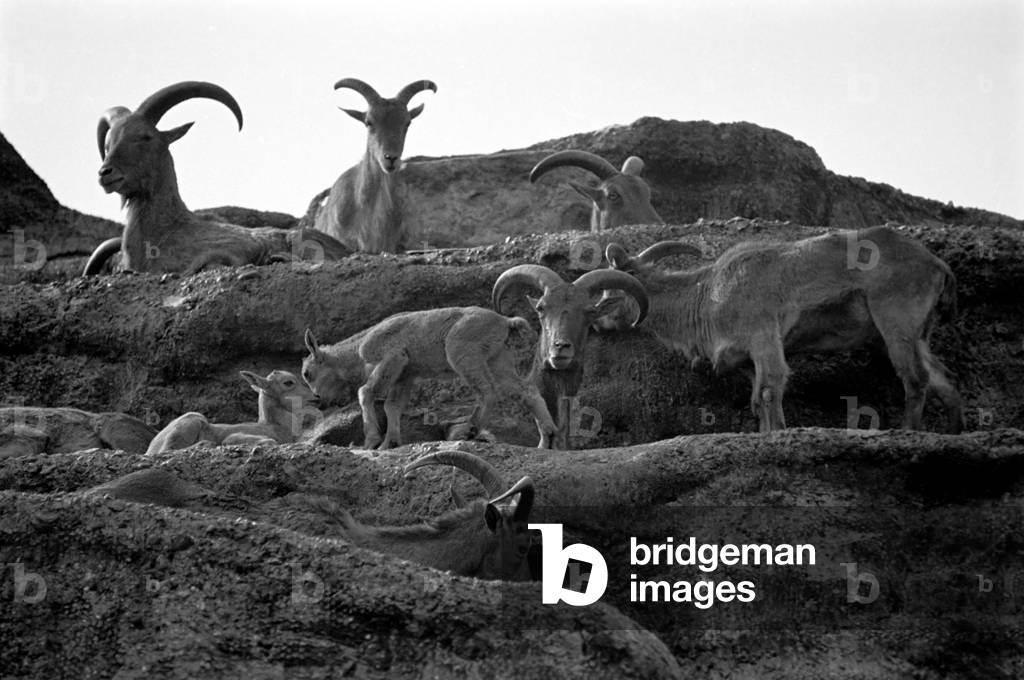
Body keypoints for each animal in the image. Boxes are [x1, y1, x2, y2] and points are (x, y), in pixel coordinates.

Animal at [145, 370, 321, 455]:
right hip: (193, 420)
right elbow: (270, 441)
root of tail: (152, 445)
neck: (276, 427)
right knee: (167, 450)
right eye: (288, 382)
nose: (316, 396)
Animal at [301, 307, 557, 449]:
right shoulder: (405, 374)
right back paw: (547, 440)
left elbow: (365, 392)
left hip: (463, 356)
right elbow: (392, 406)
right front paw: (389, 443)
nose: (319, 401)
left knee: (488, 391)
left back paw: (471, 429)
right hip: (497, 360)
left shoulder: (392, 359)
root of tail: (505, 322)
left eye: (307, 373)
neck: (358, 349)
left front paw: (372, 440)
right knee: (526, 391)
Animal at [605, 226, 964, 432]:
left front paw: (777, 434)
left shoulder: (763, 337)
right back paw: (955, 432)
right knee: (943, 378)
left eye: (609, 295)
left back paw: (910, 432)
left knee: (915, 377)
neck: (708, 295)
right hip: (913, 334)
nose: (596, 318)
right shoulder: (746, 360)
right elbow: (757, 399)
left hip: (895, 321)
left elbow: (770, 389)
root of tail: (937, 264)